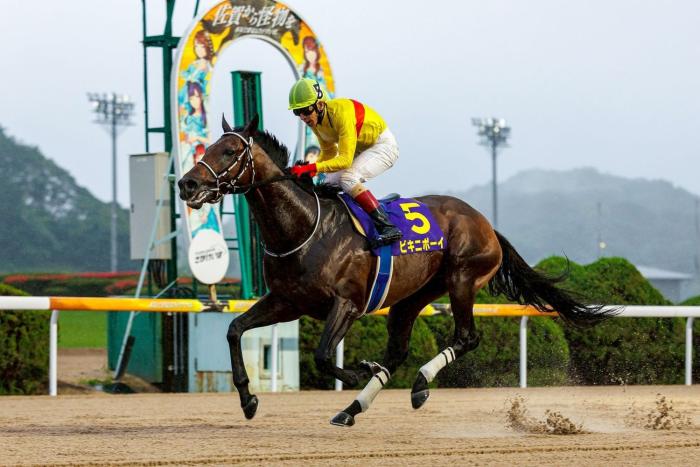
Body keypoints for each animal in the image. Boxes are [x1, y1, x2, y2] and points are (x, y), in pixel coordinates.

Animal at [178, 115, 612, 427]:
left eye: (229, 151)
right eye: (208, 146)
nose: (187, 184)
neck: (304, 227)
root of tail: (486, 223)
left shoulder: (346, 304)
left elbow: (322, 354)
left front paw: (357, 371)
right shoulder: (287, 301)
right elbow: (234, 330)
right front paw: (249, 399)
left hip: (462, 280)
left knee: (466, 337)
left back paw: (416, 385)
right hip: (413, 296)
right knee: (400, 349)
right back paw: (353, 408)